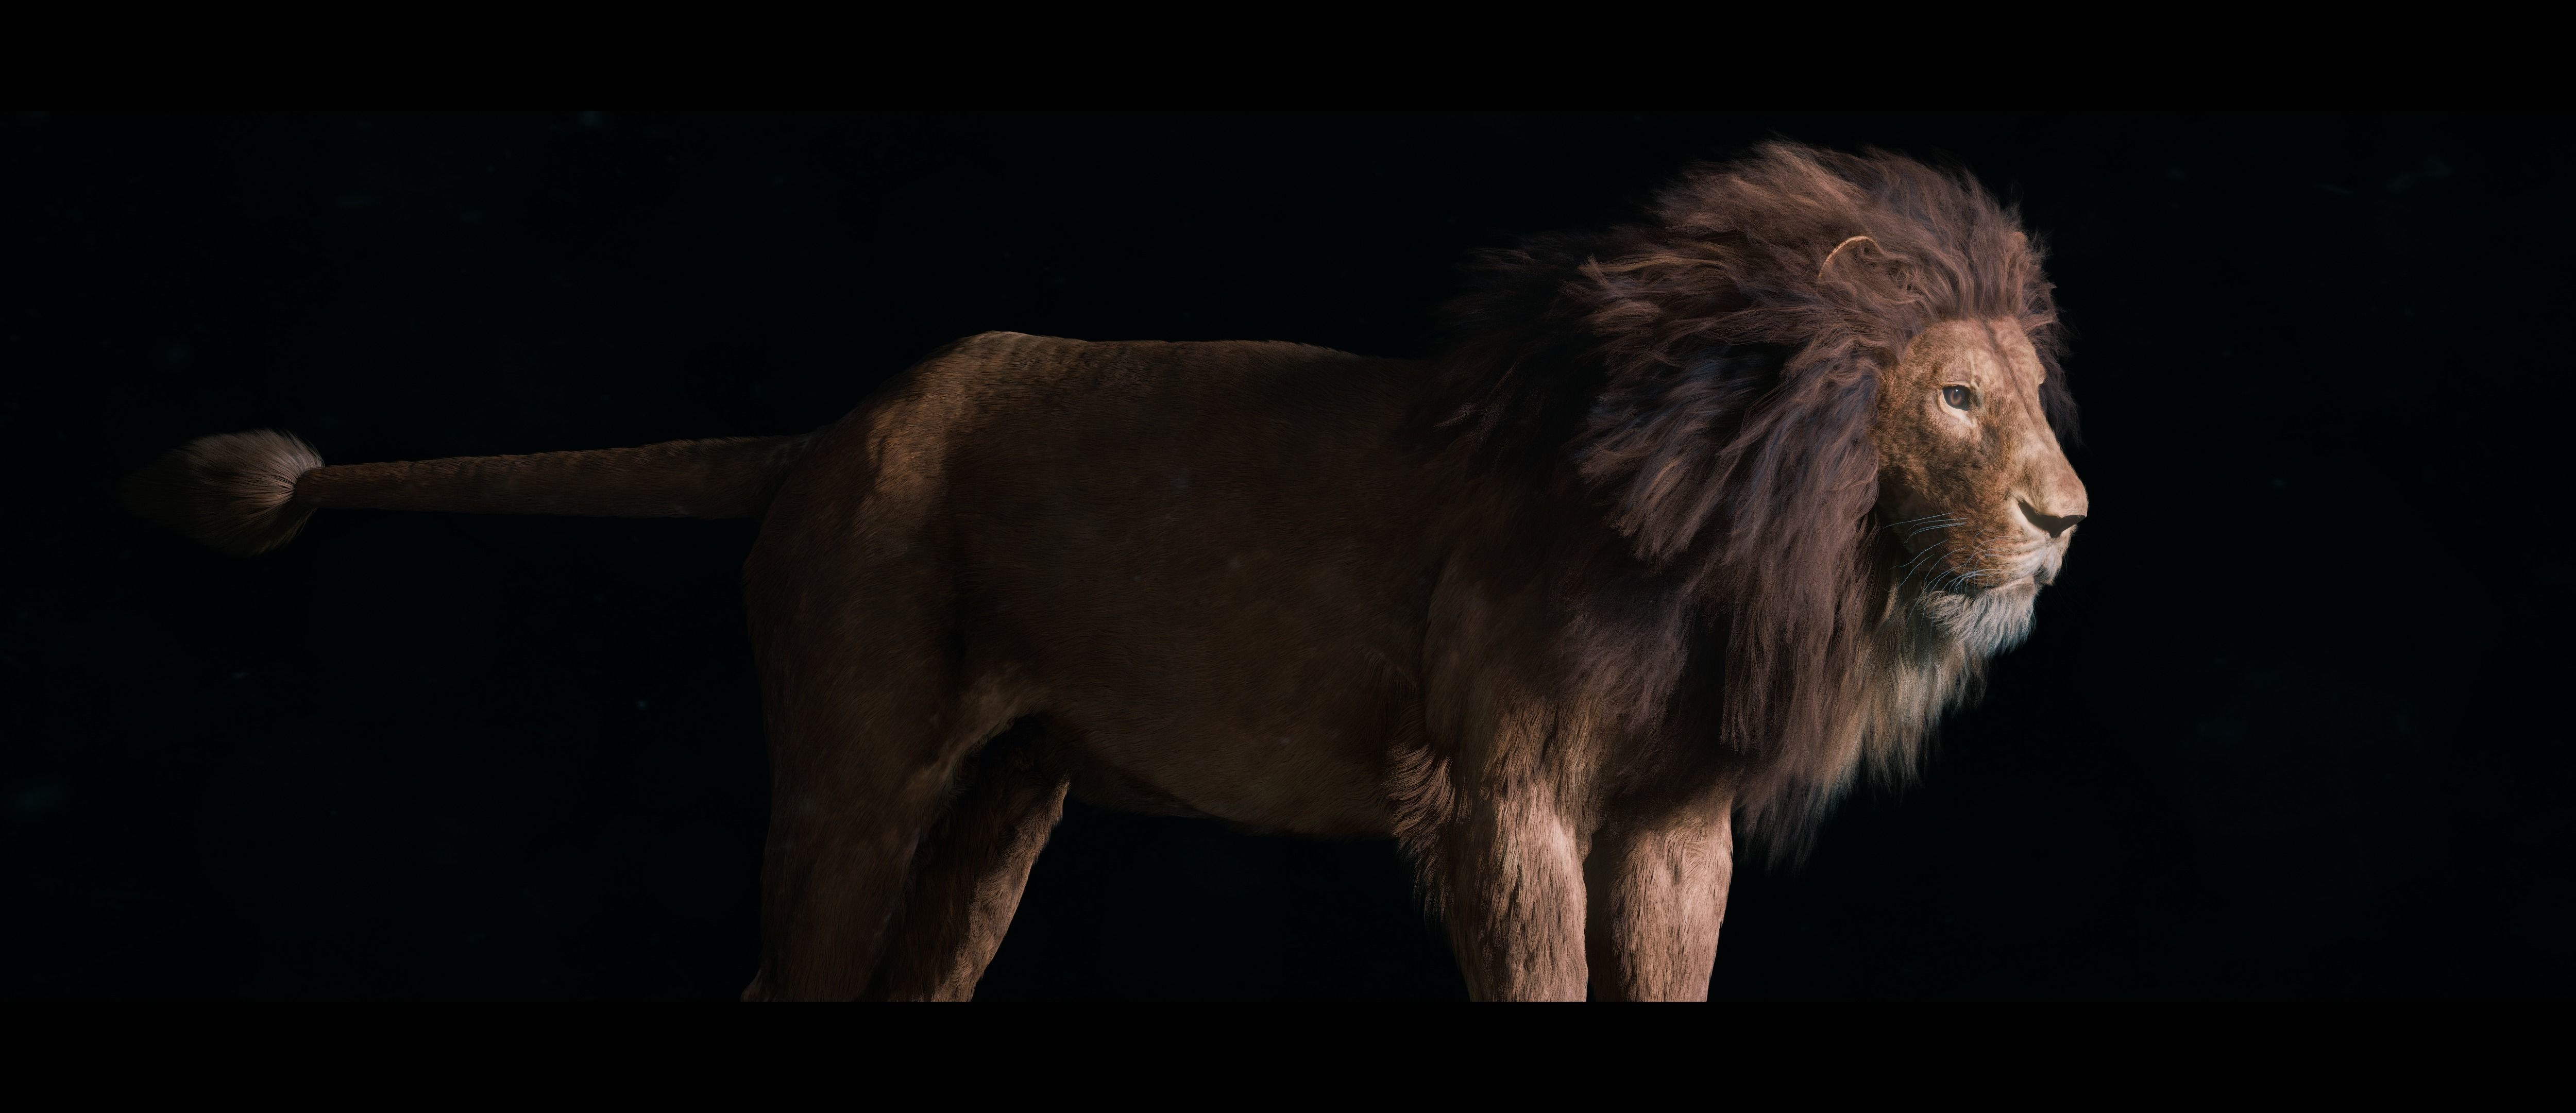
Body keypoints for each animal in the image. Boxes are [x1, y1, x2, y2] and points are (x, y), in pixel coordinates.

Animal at [124, 142, 2087, 1001]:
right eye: (1958, 396)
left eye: (2030, 393)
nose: (2070, 516)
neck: (1728, 532)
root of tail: (840, 428)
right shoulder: (1500, 795)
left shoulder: (1672, 827)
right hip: (857, 770)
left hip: (1000, 806)